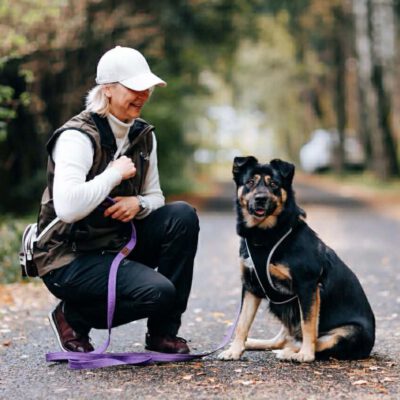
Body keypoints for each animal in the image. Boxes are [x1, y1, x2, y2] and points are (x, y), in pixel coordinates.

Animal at [218, 157, 375, 362]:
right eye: (250, 182)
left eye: (274, 184)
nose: (261, 198)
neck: (266, 236)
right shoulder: (250, 286)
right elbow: (242, 323)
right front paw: (235, 350)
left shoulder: (307, 286)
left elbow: (308, 325)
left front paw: (306, 355)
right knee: (283, 338)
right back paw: (256, 343)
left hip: (349, 332)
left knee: (316, 341)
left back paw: (291, 352)